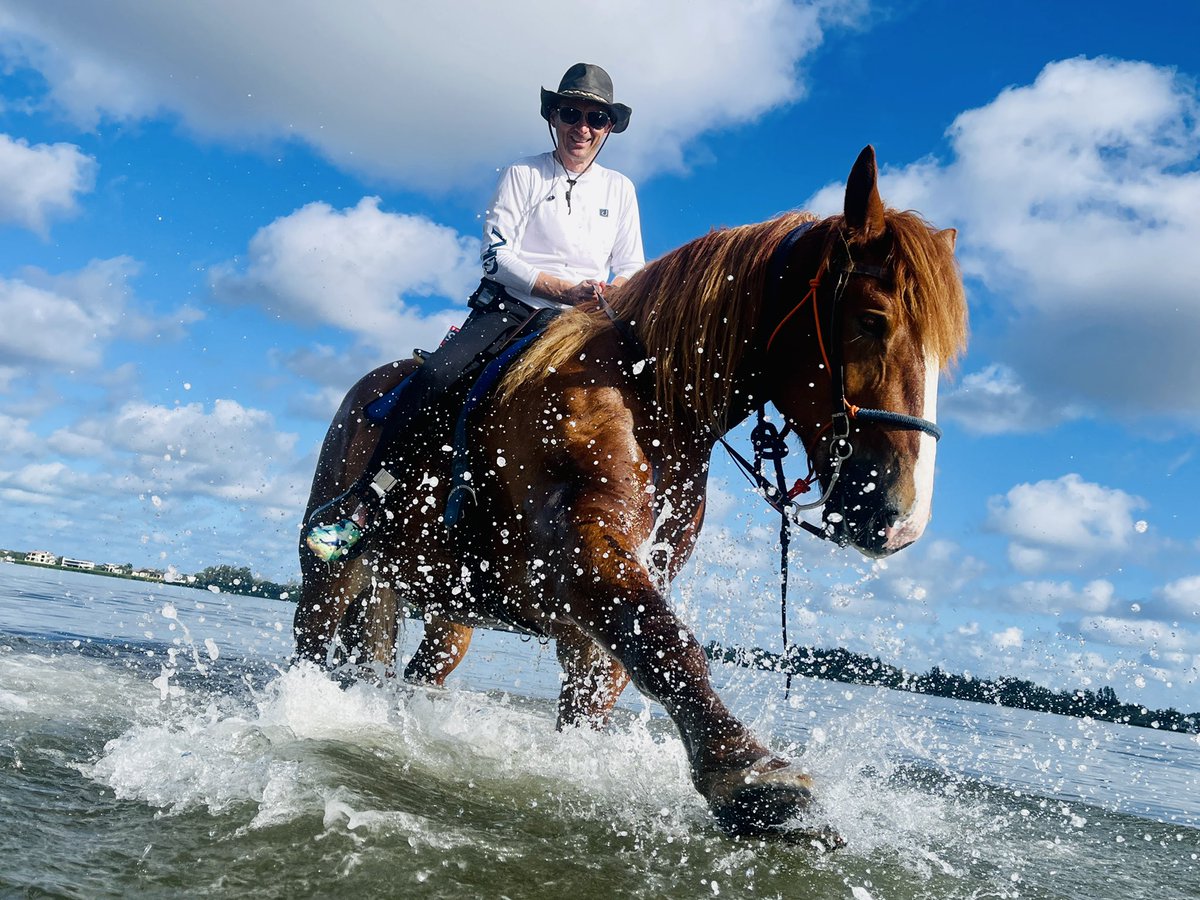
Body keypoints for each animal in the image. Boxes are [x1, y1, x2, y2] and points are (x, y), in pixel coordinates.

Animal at [293, 146, 968, 836]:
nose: (900, 518)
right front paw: (754, 779)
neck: (650, 396)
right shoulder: (585, 552)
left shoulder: (598, 611)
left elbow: (616, 679)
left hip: (440, 608)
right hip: (332, 578)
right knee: (312, 644)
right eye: (872, 320)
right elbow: (671, 647)